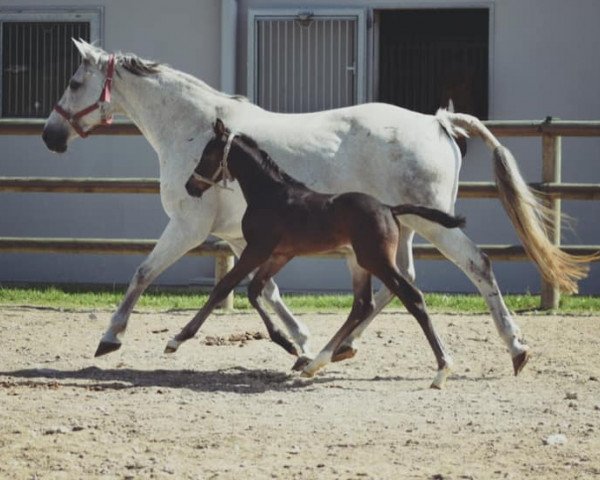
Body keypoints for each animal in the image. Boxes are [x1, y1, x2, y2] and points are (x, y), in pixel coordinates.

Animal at [166, 120, 466, 390]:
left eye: (208, 154)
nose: (190, 186)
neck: (270, 194)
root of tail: (389, 209)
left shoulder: (258, 248)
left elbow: (224, 287)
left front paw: (177, 340)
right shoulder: (279, 254)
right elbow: (255, 289)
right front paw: (288, 344)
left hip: (376, 260)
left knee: (410, 297)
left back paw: (442, 369)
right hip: (359, 262)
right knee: (362, 304)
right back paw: (316, 363)